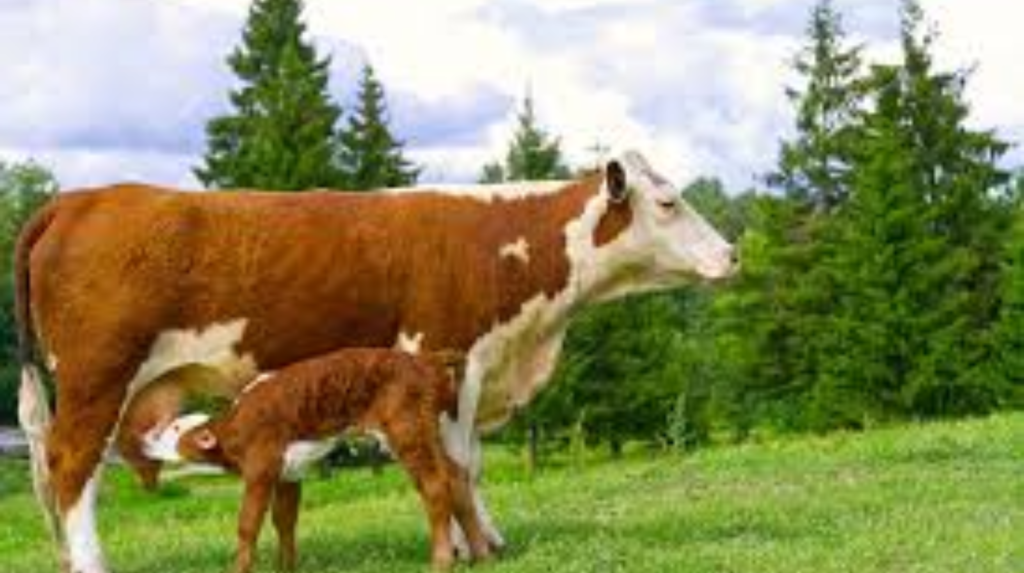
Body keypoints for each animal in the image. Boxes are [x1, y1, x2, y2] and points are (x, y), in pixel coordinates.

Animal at [143, 348, 490, 573]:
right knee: (457, 476)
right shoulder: (287, 471)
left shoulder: (260, 467)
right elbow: (284, 520)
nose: (146, 438)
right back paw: (482, 556)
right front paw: (285, 568)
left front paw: (239, 569)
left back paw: (442, 561)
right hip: (428, 430)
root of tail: (424, 359)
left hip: (407, 430)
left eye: (175, 429)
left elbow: (248, 523)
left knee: (435, 483)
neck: (235, 428)